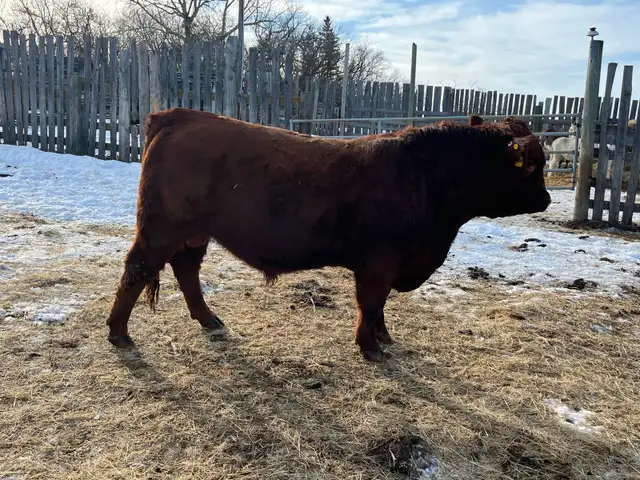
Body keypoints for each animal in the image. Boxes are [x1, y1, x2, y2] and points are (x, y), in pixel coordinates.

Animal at [106, 108, 551, 362]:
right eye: (531, 163)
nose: (546, 199)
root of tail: (178, 115)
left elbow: (380, 306)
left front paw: (384, 338)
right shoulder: (379, 261)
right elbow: (370, 303)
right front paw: (370, 347)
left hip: (194, 234)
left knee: (186, 270)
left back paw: (209, 319)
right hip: (161, 228)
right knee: (137, 269)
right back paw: (119, 333)